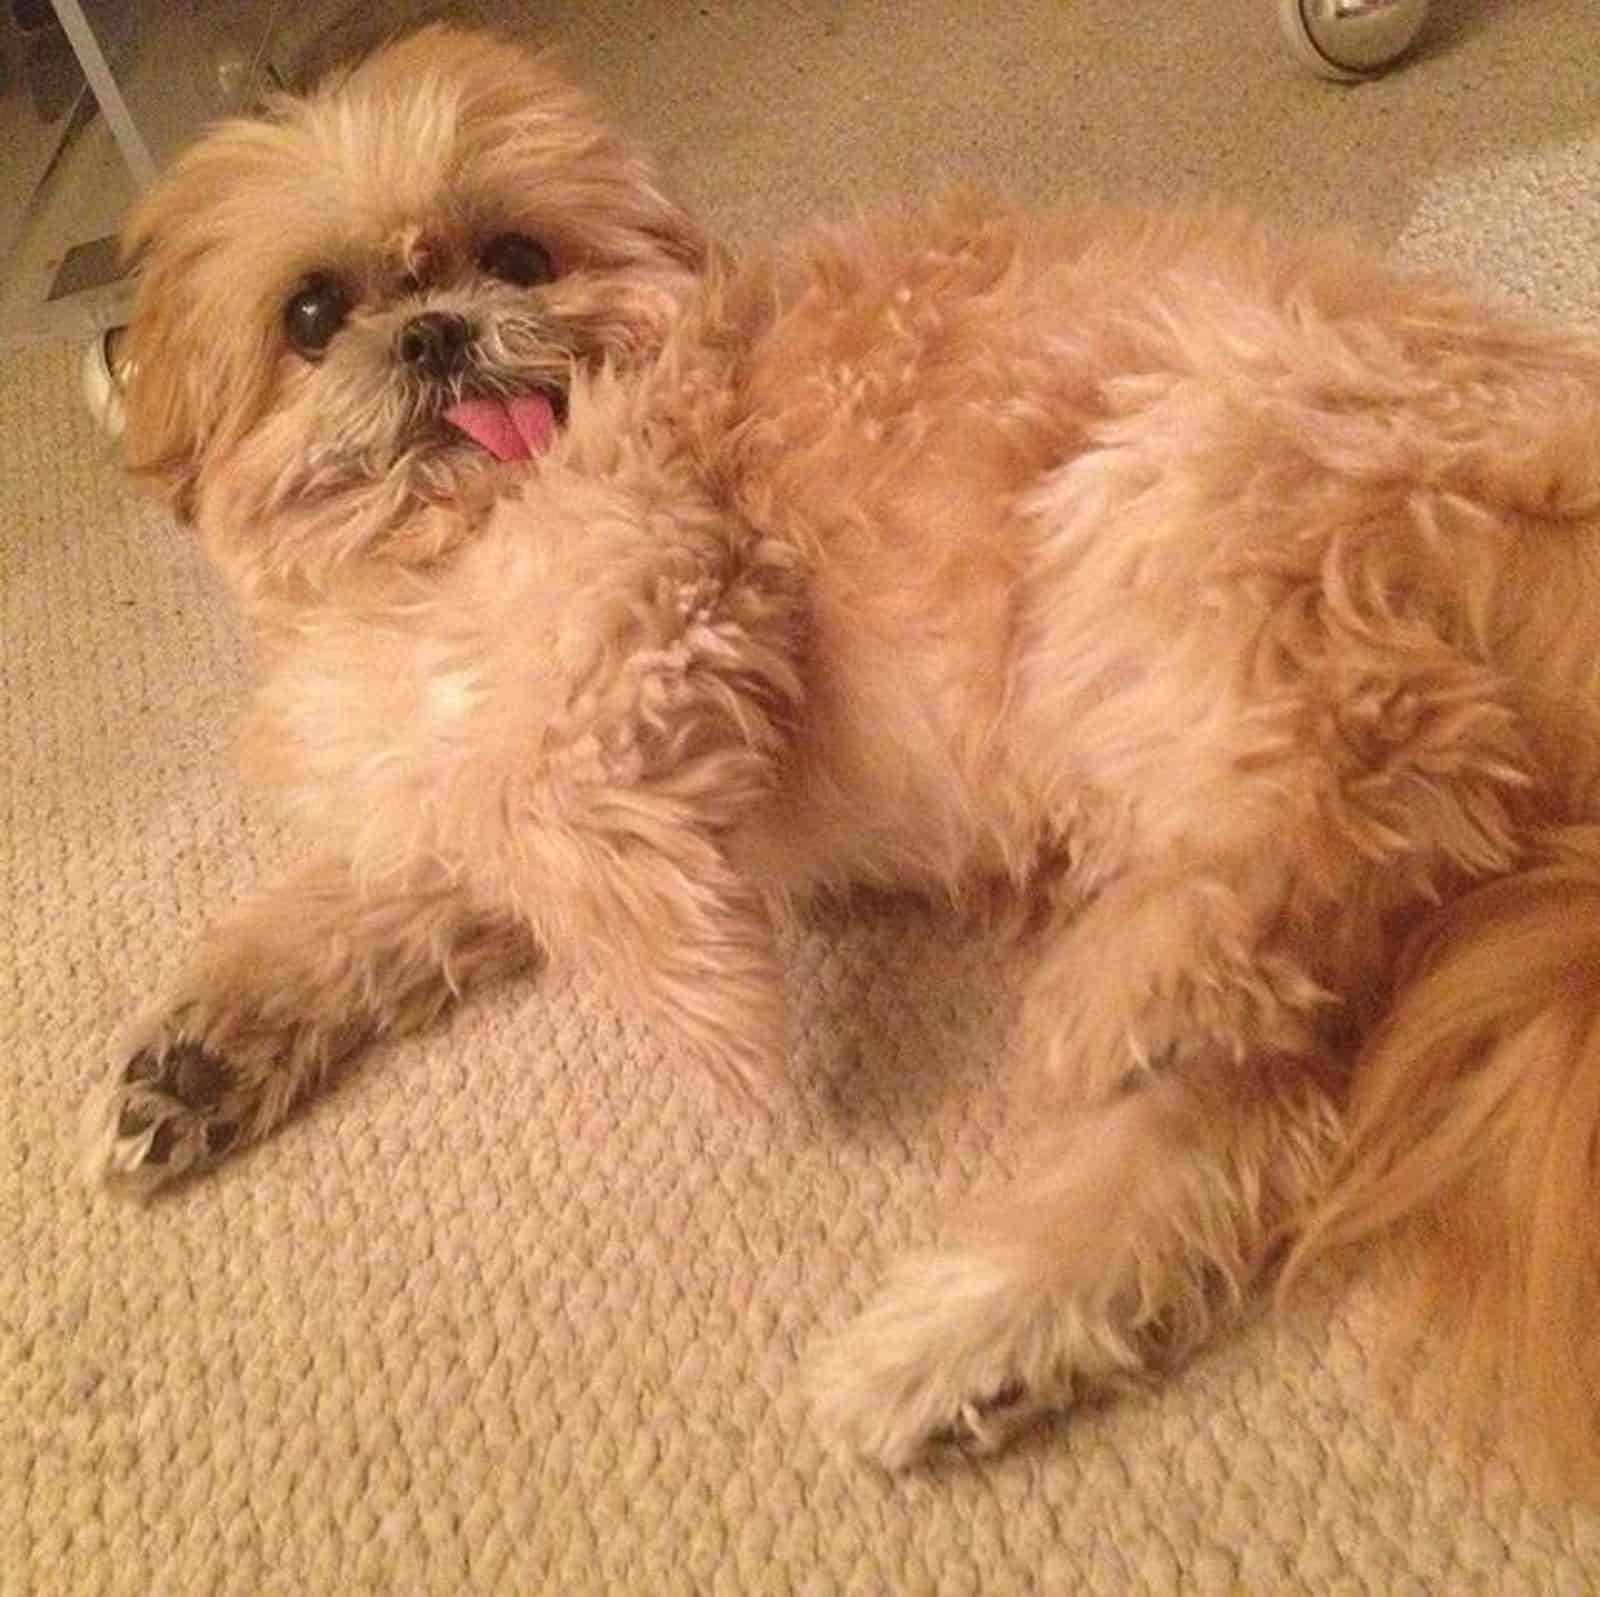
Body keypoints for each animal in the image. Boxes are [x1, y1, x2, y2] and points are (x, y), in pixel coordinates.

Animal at [81, 25, 1600, 1491]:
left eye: (519, 257)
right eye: (312, 315)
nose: (434, 332)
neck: (447, 546)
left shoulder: (651, 597)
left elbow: (549, 811)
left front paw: (717, 1005)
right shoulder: (447, 762)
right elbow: (378, 891)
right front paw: (195, 1058)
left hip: (1181, 505)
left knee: (1387, 769)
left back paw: (1117, 993)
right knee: (1272, 1085)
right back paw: (980, 1336)